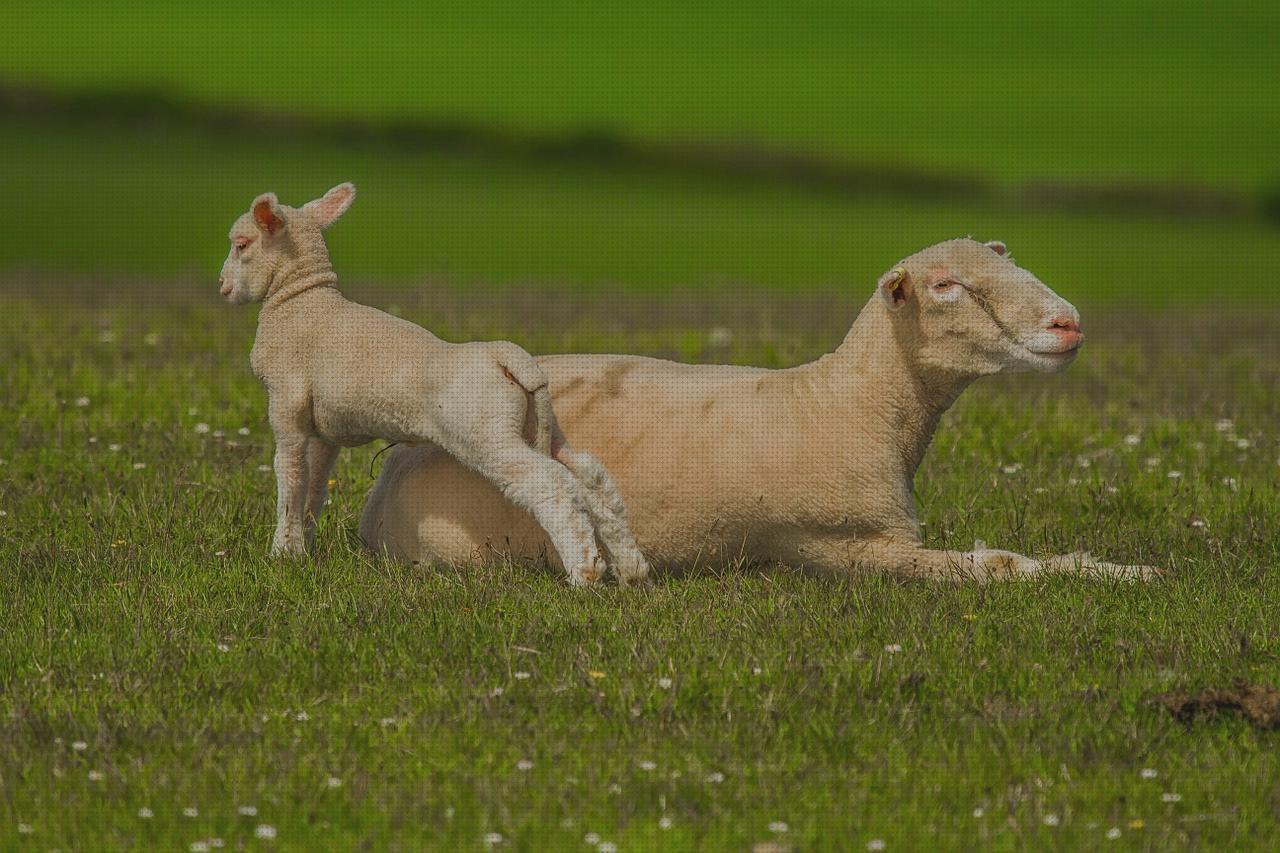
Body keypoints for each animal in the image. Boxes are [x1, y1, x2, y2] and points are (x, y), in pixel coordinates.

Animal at [216, 181, 650, 581]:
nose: (222, 287)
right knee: (589, 476)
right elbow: (316, 486)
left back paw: (584, 573)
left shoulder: (285, 403)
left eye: (241, 244)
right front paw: (302, 546)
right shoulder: (324, 428)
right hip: (537, 426)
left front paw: (282, 554)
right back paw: (631, 569)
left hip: (486, 432)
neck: (300, 299)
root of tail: (508, 358)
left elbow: (290, 478)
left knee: (550, 483)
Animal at [358, 234, 1162, 578]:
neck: (845, 404)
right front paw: (1113, 574)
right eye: (945, 287)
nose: (1067, 323)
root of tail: (390, 474)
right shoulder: (843, 546)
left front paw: (1119, 568)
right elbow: (998, 565)